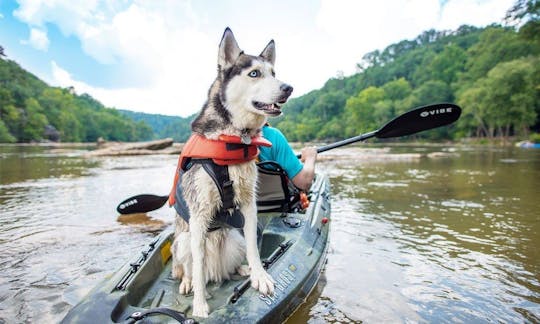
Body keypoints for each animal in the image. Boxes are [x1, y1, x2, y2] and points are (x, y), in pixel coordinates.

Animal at [171, 27, 294, 316]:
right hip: (183, 240)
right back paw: (188, 281)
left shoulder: (249, 202)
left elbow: (254, 248)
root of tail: (217, 273)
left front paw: (260, 275)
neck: (233, 139)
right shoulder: (199, 215)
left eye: (274, 72)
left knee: (233, 261)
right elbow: (197, 266)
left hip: (234, 238)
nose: (288, 88)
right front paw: (200, 306)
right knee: (192, 268)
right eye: (254, 74)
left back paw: (242, 270)